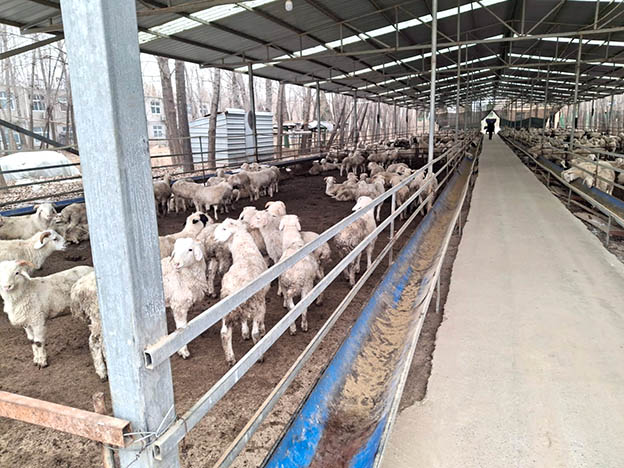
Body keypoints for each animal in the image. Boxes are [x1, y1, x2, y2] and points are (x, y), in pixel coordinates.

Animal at [214, 219, 270, 366]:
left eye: (223, 228)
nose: (214, 239)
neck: (245, 251)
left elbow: (244, 320)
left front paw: (244, 332)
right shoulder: (261, 303)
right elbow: (260, 322)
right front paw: (262, 329)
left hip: (226, 311)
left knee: (224, 333)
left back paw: (230, 358)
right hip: (256, 305)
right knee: (255, 333)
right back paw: (260, 355)